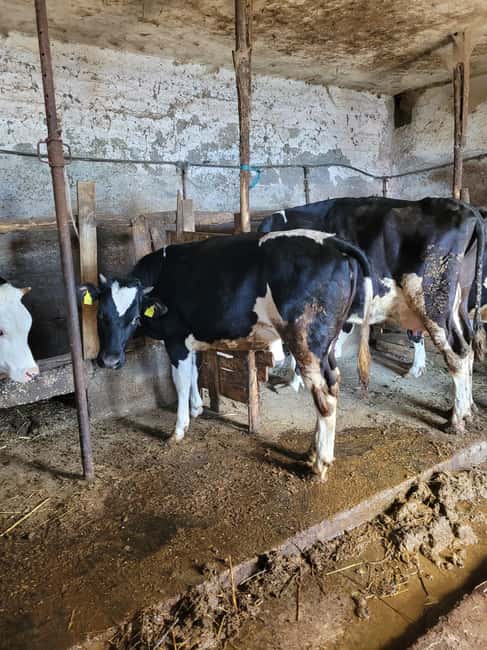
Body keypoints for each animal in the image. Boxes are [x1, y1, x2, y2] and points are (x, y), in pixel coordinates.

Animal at [79, 230, 372, 481]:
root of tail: (331, 240)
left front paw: (178, 429)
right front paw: (197, 408)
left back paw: (320, 464)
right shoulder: (191, 338)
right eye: (102, 316)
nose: (110, 360)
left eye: (135, 317)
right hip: (326, 345)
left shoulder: (175, 339)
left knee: (324, 396)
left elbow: (180, 381)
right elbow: (195, 372)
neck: (162, 275)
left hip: (306, 342)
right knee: (333, 381)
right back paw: (311, 452)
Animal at [259, 197, 485, 434]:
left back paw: (456, 420)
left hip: (432, 300)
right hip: (460, 299)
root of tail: (467, 209)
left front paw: (293, 383)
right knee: (468, 344)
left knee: (456, 353)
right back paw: (467, 410)